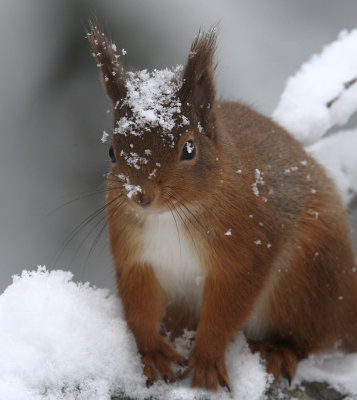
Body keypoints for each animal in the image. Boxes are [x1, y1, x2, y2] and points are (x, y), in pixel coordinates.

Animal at [87, 23, 356, 392]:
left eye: (189, 148)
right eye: (112, 151)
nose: (141, 195)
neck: (170, 216)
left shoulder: (244, 249)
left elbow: (224, 312)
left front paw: (207, 361)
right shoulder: (135, 256)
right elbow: (138, 309)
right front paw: (153, 353)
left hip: (308, 276)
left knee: (309, 336)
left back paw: (278, 350)